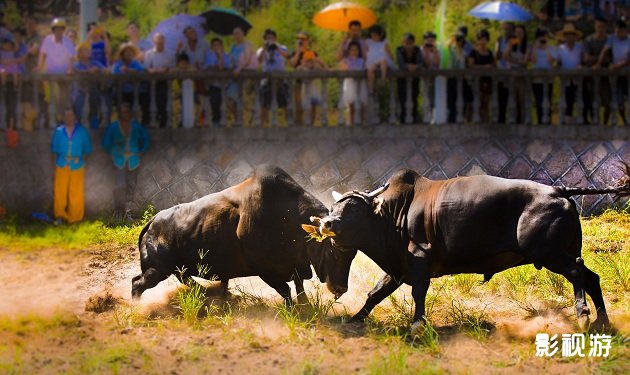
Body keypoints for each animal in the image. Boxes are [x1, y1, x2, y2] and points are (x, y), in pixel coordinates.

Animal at [131, 166, 358, 304]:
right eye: (333, 252)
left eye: (352, 255)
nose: (341, 288)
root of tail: (154, 221)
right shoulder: (265, 270)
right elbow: (286, 290)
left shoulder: (295, 265)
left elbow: (299, 287)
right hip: (156, 270)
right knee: (137, 284)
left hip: (175, 270)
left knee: (187, 282)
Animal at [310, 167, 630, 332]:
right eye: (334, 207)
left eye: (353, 209)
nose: (327, 223)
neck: (393, 214)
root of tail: (558, 190)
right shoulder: (398, 268)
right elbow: (375, 294)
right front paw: (355, 319)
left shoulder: (419, 261)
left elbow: (418, 294)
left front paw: (417, 325)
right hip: (561, 251)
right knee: (591, 277)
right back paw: (602, 320)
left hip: (549, 253)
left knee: (577, 272)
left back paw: (583, 314)